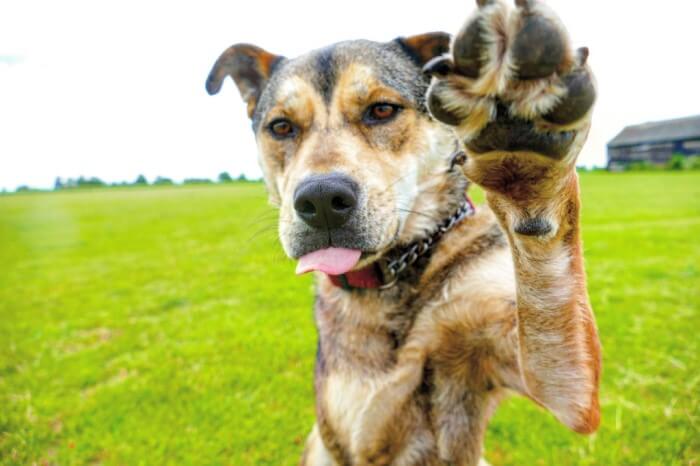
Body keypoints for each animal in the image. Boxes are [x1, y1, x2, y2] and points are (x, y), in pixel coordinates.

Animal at [205, 1, 600, 464]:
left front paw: (523, 154)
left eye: (381, 110)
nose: (320, 200)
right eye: (281, 127)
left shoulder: (563, 386)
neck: (386, 281)